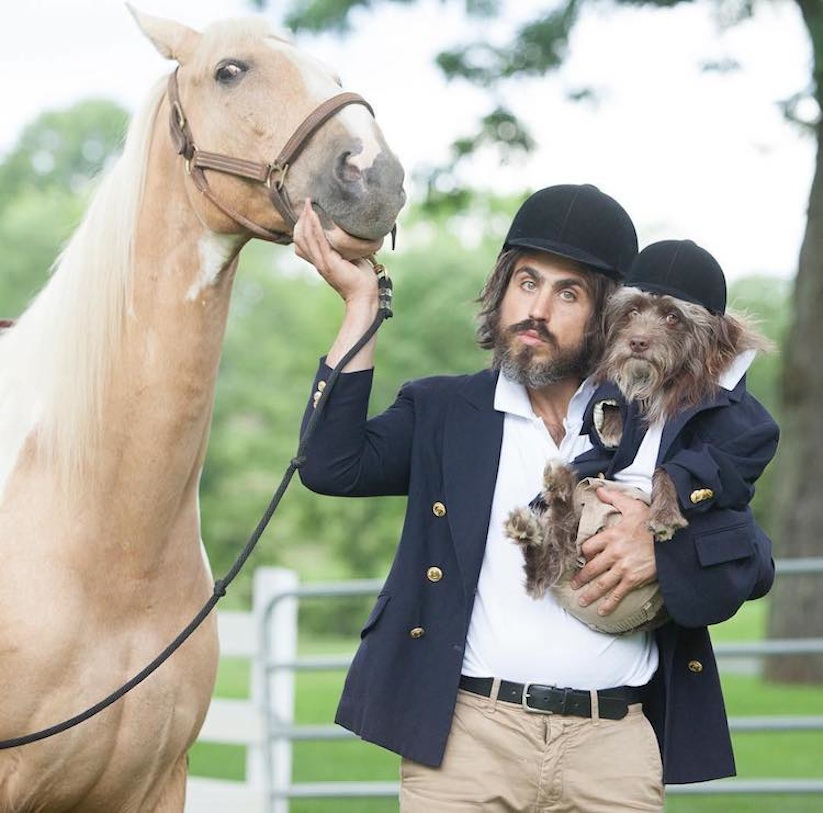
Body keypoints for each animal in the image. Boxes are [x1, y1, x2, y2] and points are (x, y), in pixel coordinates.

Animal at [506, 286, 768, 636]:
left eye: (673, 316)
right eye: (631, 311)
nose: (638, 342)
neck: (665, 384)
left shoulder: (746, 441)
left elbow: (684, 467)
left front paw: (664, 515)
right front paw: (614, 419)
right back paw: (543, 508)